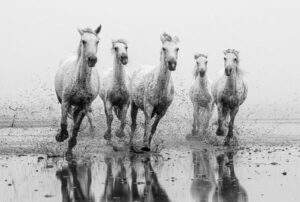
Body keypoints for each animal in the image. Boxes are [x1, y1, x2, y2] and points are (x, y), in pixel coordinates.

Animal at [55, 24, 102, 153]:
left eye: (97, 41)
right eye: (83, 41)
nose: (92, 59)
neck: (80, 82)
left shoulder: (85, 105)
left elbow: (77, 125)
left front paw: (72, 142)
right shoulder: (65, 101)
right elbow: (64, 121)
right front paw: (61, 136)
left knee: (76, 117)